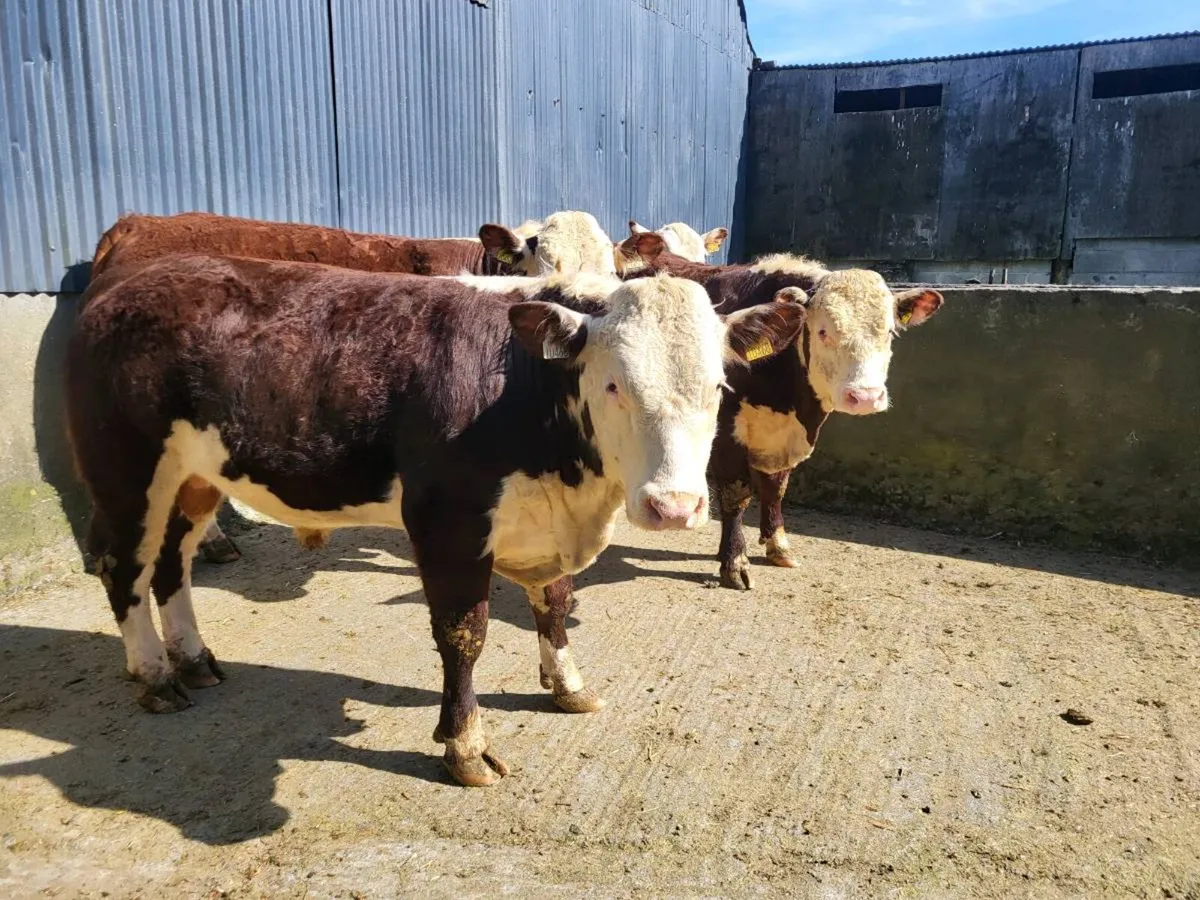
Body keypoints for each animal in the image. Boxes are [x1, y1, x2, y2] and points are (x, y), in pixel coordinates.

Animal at [66, 255, 805, 786]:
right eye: (614, 384)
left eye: (718, 386)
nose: (674, 507)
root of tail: (134, 277)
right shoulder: (447, 522)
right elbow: (464, 637)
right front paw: (465, 747)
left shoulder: (546, 524)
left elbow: (555, 604)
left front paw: (568, 686)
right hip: (127, 475)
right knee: (125, 567)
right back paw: (154, 676)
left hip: (193, 479)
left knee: (173, 563)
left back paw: (194, 658)